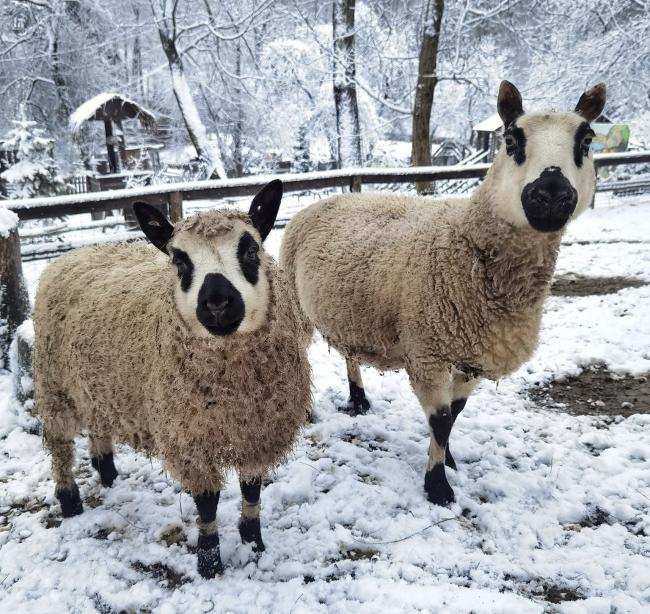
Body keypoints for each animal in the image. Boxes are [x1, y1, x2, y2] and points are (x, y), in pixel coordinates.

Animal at [33, 180, 312, 580]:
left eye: (250, 250)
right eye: (179, 261)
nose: (217, 302)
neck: (233, 389)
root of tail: (74, 254)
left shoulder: (257, 430)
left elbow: (252, 488)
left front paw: (253, 542)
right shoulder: (188, 437)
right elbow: (207, 503)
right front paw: (209, 562)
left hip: (94, 386)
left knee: (97, 426)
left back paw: (107, 472)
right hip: (54, 387)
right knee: (59, 445)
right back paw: (70, 501)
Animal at [280, 80, 604, 506]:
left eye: (587, 139)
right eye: (511, 139)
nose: (550, 193)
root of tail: (322, 200)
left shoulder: (474, 356)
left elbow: (456, 413)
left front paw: (447, 459)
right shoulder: (427, 353)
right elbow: (441, 419)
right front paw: (437, 486)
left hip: (349, 309)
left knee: (349, 353)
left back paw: (359, 399)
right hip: (295, 302)